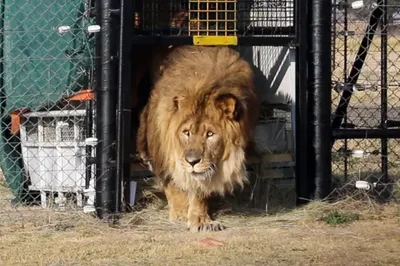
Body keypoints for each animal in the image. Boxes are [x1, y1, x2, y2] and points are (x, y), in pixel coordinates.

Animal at [137, 45, 260, 233]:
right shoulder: (164, 149)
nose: (192, 161)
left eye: (210, 134)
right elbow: (173, 182)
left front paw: (201, 220)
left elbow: (199, 189)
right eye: (186, 132)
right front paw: (180, 212)